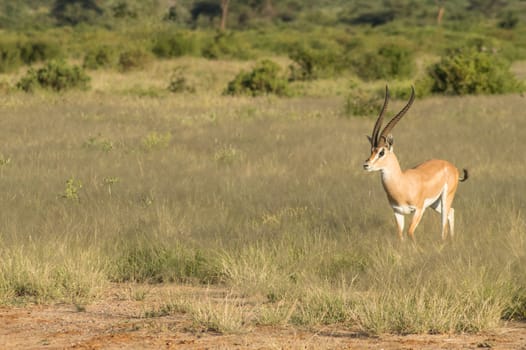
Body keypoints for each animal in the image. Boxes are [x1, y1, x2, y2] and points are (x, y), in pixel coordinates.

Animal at [364, 86, 470, 242]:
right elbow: (400, 235)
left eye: (381, 152)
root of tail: (451, 167)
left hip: (445, 198)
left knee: (444, 223)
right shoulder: (397, 212)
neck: (402, 183)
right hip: (435, 203)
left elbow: (410, 232)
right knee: (451, 212)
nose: (366, 165)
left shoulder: (419, 209)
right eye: (371, 150)